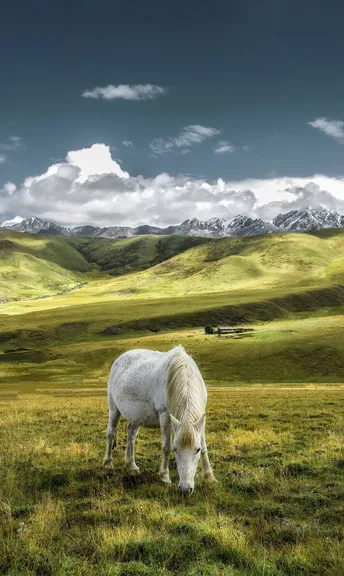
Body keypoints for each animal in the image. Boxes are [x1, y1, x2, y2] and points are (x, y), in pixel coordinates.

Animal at [103, 344, 215, 492]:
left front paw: (209, 476)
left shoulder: (201, 419)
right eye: (175, 449)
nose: (185, 489)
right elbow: (166, 447)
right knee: (111, 433)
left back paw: (131, 465)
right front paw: (164, 477)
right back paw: (108, 463)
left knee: (131, 433)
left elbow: (204, 447)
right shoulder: (165, 415)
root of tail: (119, 358)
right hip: (113, 408)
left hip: (137, 416)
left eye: (196, 450)